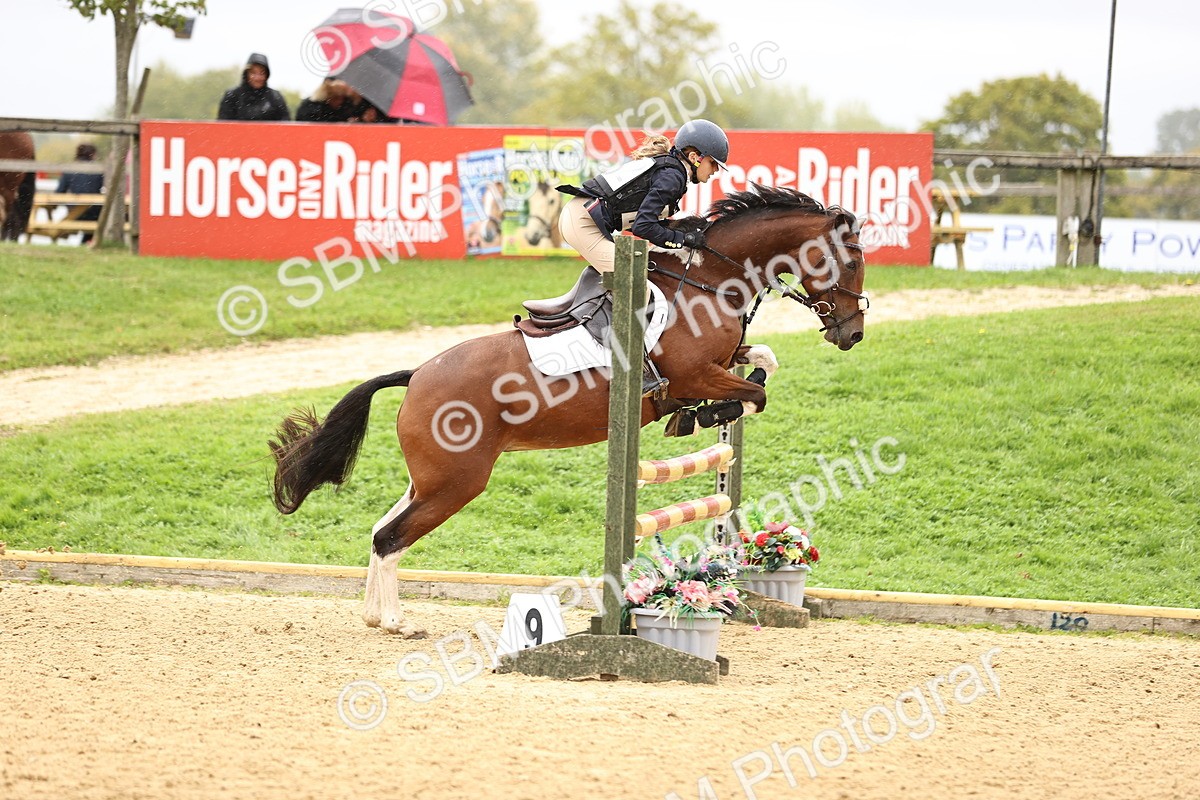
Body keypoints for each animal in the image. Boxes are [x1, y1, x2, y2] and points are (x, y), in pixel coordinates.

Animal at [270, 185, 868, 636]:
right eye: (853, 259)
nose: (853, 334)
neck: (711, 280)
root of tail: (416, 375)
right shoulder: (694, 373)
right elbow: (752, 394)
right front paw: (702, 414)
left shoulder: (721, 361)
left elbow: (762, 361)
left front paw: (703, 413)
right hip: (456, 482)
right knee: (391, 537)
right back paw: (396, 622)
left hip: (430, 479)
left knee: (380, 529)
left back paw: (375, 616)